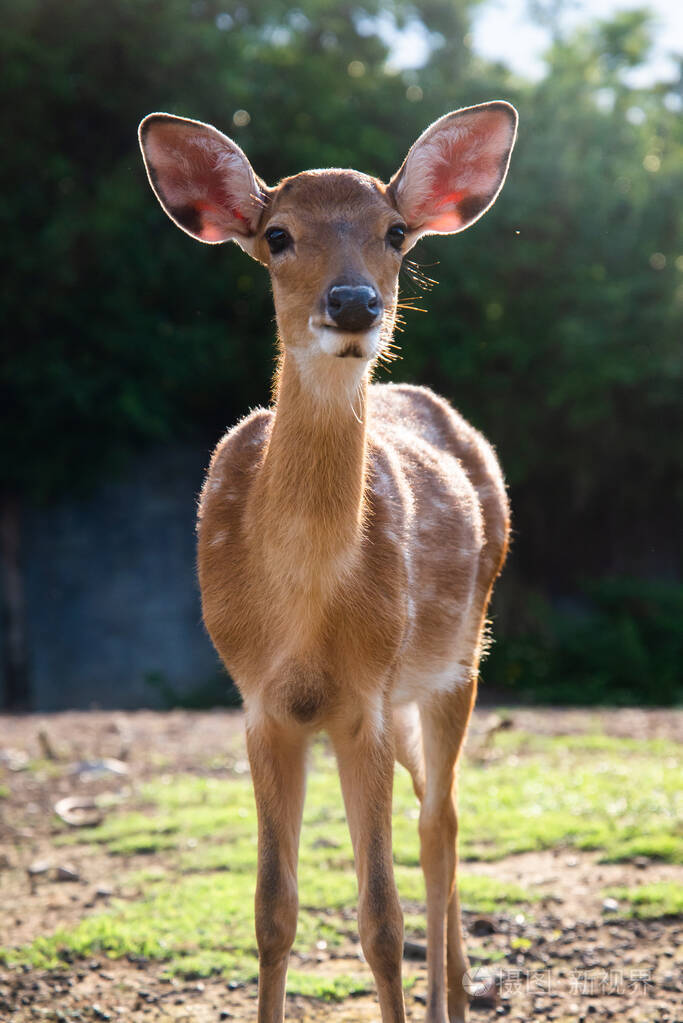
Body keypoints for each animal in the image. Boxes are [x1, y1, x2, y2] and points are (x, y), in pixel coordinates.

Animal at [139, 100, 518, 1023]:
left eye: (395, 233)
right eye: (276, 234)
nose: (352, 303)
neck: (306, 602)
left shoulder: (363, 700)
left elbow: (379, 917)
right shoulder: (261, 702)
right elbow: (272, 908)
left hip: (459, 658)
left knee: (440, 824)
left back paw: (450, 1001)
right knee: (432, 812)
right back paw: (456, 990)